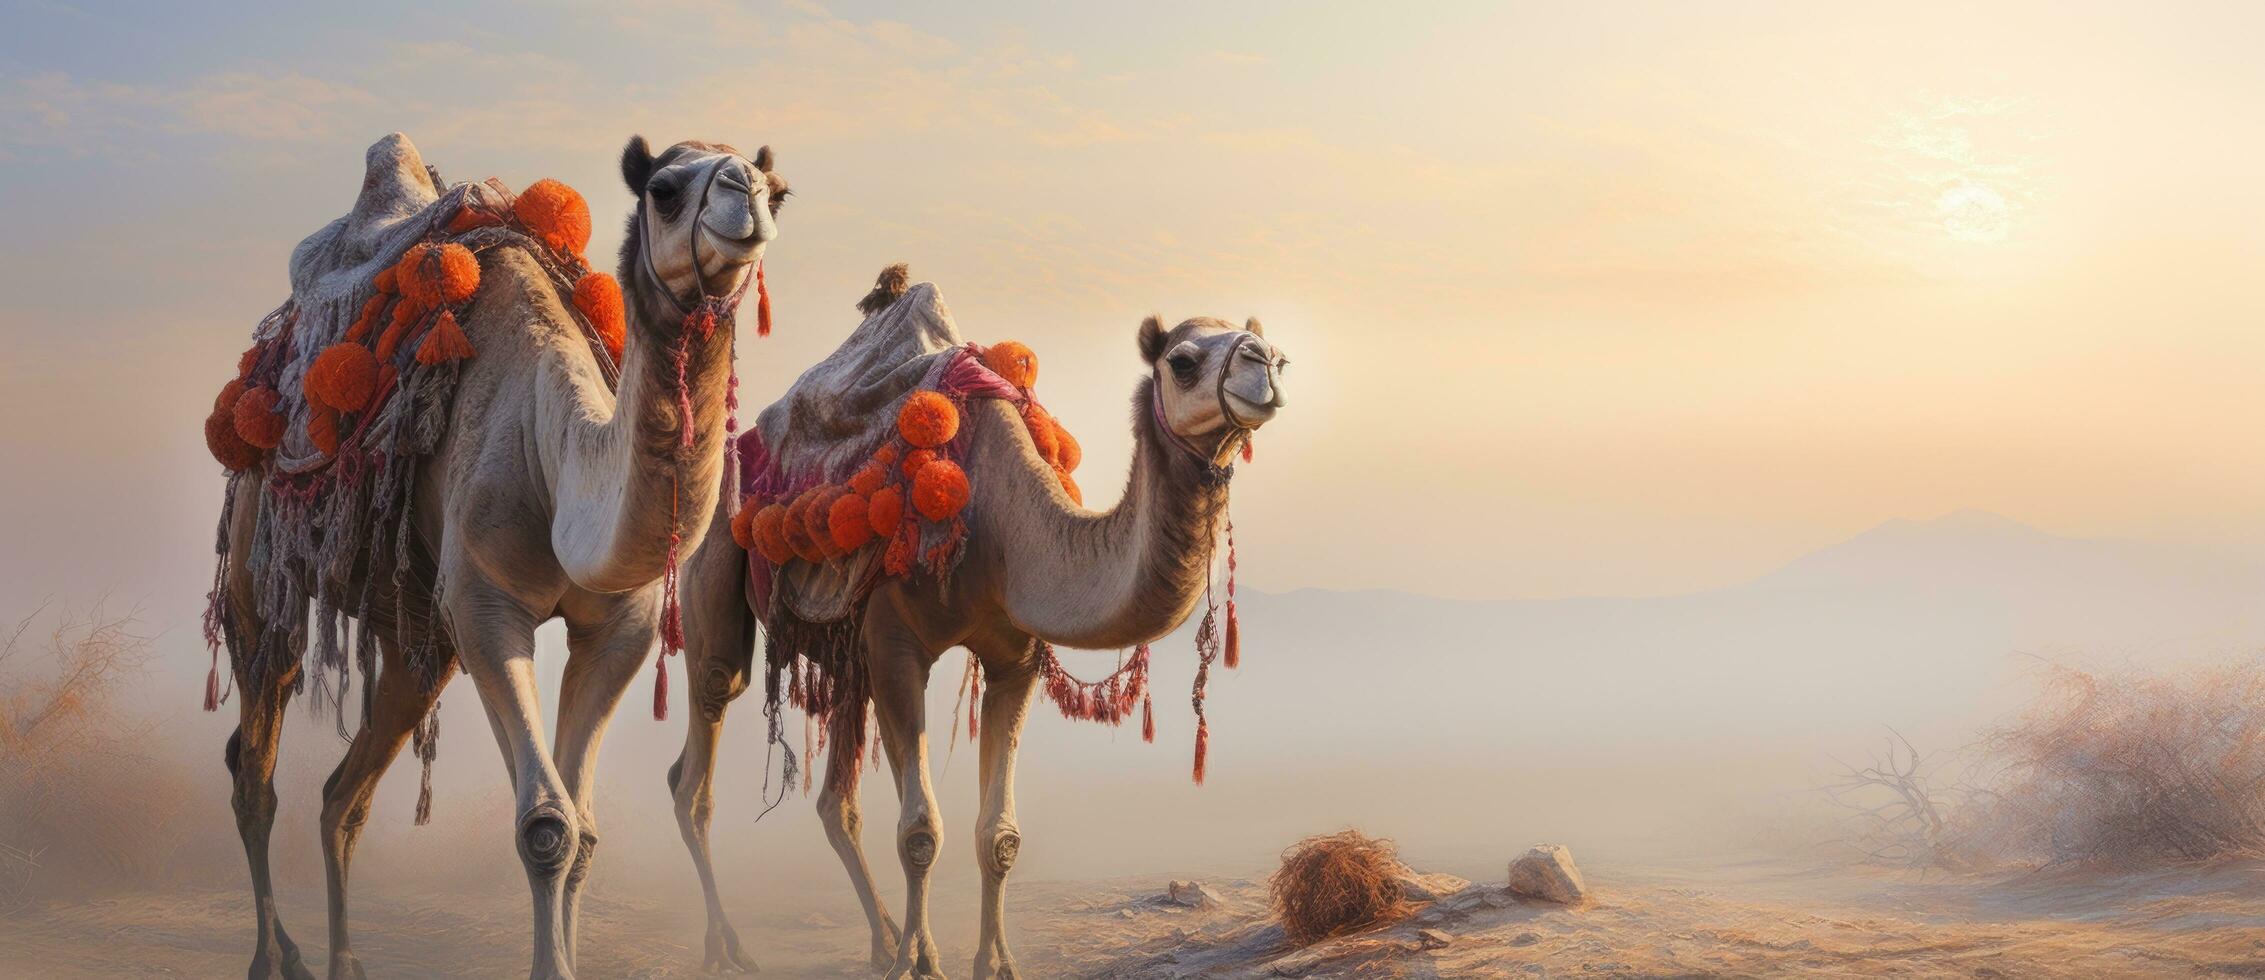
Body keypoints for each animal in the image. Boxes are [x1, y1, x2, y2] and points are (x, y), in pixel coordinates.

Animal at [218, 131, 788, 977]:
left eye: (778, 192)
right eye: (663, 189)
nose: (744, 195)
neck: (553, 453)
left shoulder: (617, 629)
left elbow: (582, 830)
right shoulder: (487, 609)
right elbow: (546, 826)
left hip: (415, 638)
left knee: (343, 794)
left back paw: (344, 959)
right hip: (261, 567)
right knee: (256, 761)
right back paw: (272, 955)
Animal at [661, 269, 1286, 977]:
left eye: (1276, 353)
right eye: (1182, 361)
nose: (1264, 363)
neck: (1004, 526)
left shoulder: (1016, 659)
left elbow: (1000, 835)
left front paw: (992, 962)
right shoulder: (896, 644)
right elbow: (920, 830)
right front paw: (922, 962)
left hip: (848, 662)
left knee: (834, 803)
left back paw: (880, 940)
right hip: (718, 555)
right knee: (701, 748)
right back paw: (728, 944)